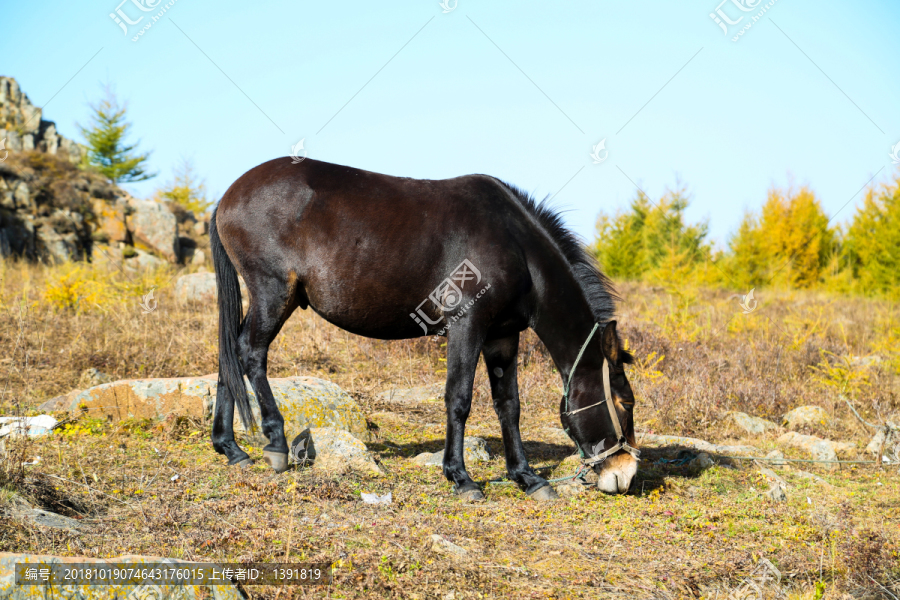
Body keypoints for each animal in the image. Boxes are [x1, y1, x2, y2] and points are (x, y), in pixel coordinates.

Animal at [209, 157, 640, 500]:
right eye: (625, 404)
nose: (626, 474)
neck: (514, 244)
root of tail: (226, 197)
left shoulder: (502, 335)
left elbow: (509, 405)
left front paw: (527, 477)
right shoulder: (467, 326)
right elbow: (459, 399)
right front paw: (461, 478)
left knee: (229, 356)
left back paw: (231, 449)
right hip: (273, 294)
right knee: (250, 353)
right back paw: (276, 442)